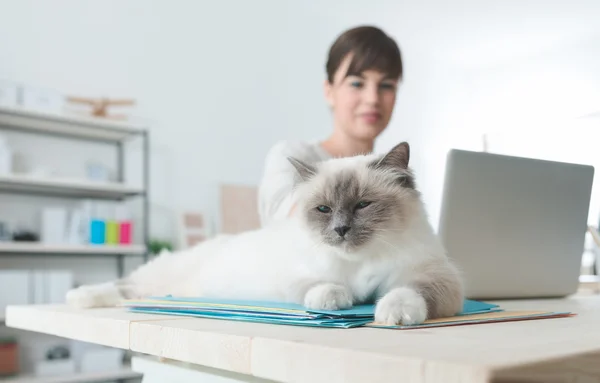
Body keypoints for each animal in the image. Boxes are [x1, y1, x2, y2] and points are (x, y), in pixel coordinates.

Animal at [68, 142, 466, 326]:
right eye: (323, 210)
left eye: (363, 205)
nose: (340, 230)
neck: (359, 262)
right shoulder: (296, 276)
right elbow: (322, 288)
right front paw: (340, 300)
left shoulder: (433, 277)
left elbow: (405, 292)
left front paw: (392, 313)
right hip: (159, 280)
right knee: (124, 286)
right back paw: (78, 297)